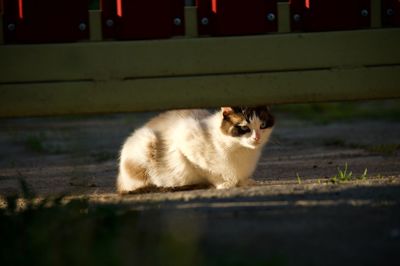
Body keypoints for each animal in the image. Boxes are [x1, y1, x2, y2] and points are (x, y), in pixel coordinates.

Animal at [116, 106, 276, 193]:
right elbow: (211, 172)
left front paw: (244, 182)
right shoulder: (186, 144)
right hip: (146, 139)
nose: (257, 137)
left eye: (262, 125)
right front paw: (225, 184)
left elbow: (241, 178)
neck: (241, 150)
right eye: (244, 128)